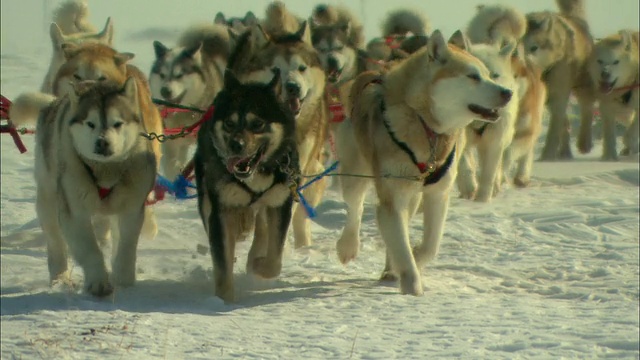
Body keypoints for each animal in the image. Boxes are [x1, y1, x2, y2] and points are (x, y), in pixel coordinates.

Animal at [338, 30, 512, 296]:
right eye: (473, 76)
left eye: (489, 75)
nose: (508, 93)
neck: (426, 126)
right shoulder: (392, 197)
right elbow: (401, 244)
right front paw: (412, 289)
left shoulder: (438, 194)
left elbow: (429, 246)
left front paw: (414, 259)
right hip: (355, 176)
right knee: (355, 207)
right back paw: (348, 245)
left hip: (412, 195)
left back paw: (391, 267)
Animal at [524, 0, 596, 160]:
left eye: (534, 47)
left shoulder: (559, 91)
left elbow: (554, 130)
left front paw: (546, 156)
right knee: (566, 123)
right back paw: (565, 152)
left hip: (581, 86)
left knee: (587, 110)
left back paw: (584, 144)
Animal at [588, 29, 636, 160]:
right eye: (600, 61)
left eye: (616, 62)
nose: (605, 74)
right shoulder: (607, 108)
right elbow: (609, 134)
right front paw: (609, 156)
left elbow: (631, 134)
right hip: (623, 114)